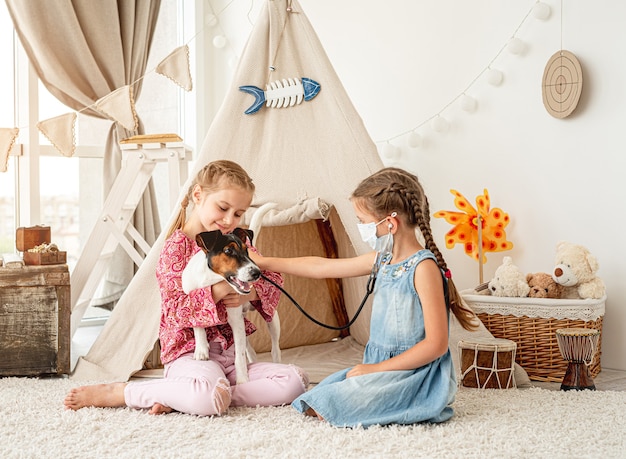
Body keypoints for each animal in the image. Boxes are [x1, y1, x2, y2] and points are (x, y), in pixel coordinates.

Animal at [180, 205, 278, 384]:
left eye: (247, 251)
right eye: (228, 250)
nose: (257, 273)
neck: (211, 280)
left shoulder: (234, 319)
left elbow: (239, 355)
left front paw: (242, 379)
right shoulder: (192, 299)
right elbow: (198, 323)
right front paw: (201, 349)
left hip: (271, 319)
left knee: (274, 348)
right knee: (250, 350)